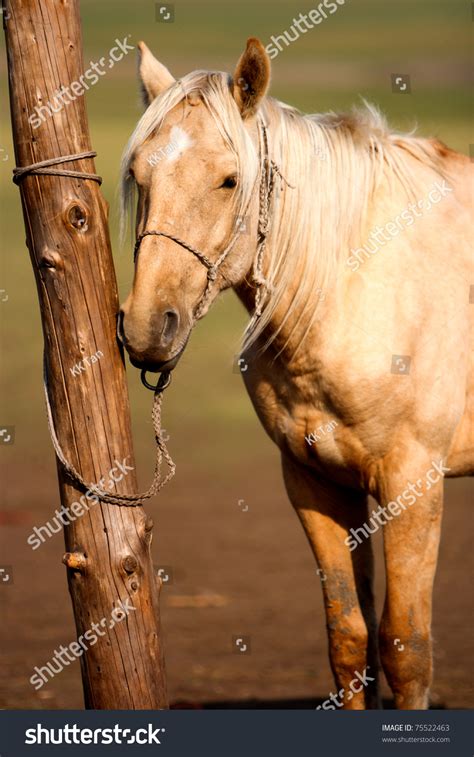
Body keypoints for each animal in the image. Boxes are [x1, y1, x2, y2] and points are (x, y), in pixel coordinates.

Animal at [116, 37, 472, 708]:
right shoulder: (315, 480)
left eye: (230, 179)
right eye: (141, 177)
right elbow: (350, 640)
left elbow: (407, 648)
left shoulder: (414, 483)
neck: (355, 284)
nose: (148, 327)